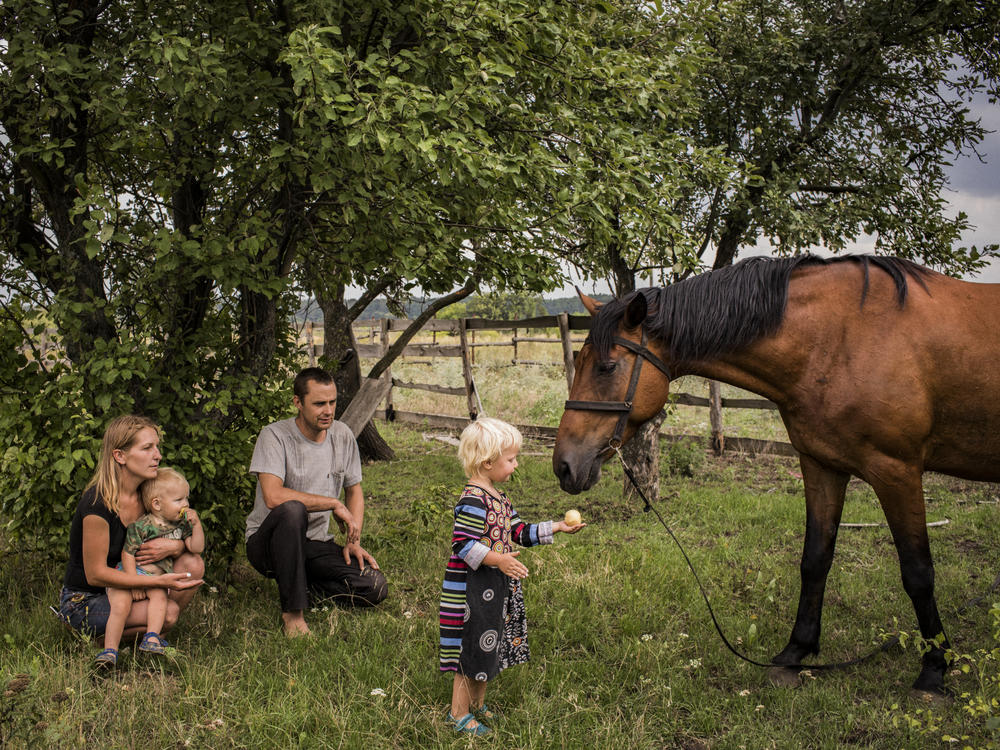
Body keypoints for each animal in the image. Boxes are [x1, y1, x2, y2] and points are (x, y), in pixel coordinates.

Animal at [552, 256, 1000, 696]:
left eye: (608, 367)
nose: (564, 465)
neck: (841, 339)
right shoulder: (822, 465)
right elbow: (815, 560)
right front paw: (795, 653)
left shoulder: (898, 471)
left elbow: (918, 573)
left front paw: (935, 668)